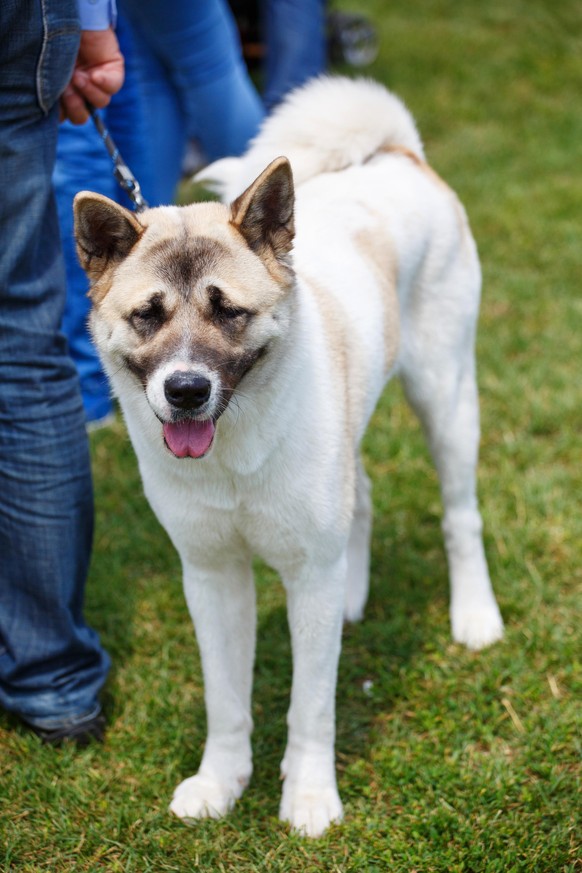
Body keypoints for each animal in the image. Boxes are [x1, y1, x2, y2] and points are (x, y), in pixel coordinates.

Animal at [73, 76, 504, 836]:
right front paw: (221, 783)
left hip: (446, 397)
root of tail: (397, 153)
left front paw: (308, 797)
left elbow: (312, 706)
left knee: (461, 516)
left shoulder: (306, 580)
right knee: (362, 497)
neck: (233, 452)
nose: (186, 390)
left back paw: (475, 615)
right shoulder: (211, 576)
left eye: (229, 311)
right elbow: (225, 700)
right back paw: (356, 594)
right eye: (148, 316)